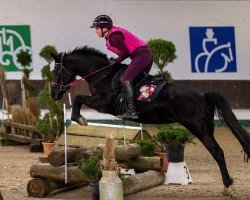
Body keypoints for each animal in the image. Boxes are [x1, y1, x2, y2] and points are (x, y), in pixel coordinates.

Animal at [51, 45, 250, 195]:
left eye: (56, 71)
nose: (53, 94)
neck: (102, 75)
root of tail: (204, 95)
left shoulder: (103, 103)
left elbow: (78, 98)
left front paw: (79, 118)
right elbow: (79, 99)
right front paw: (79, 118)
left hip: (199, 128)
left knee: (217, 152)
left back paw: (228, 186)